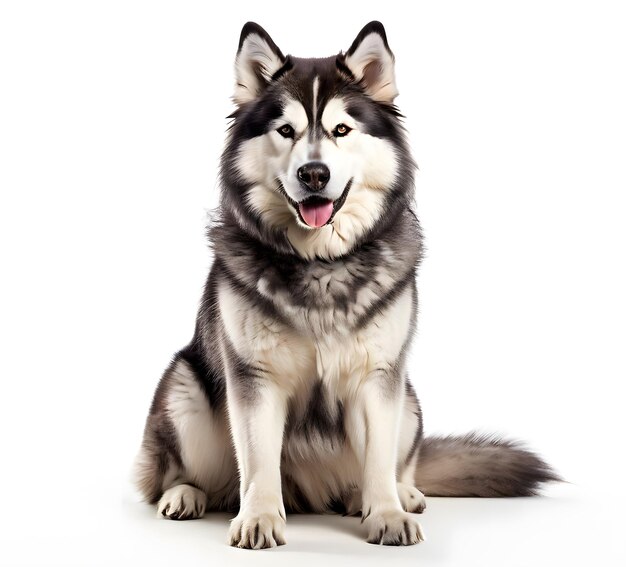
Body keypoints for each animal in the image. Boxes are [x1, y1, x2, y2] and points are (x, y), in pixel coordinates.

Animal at [135, 20, 556, 548]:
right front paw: (259, 517)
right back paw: (185, 494)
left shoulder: (379, 376)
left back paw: (394, 494)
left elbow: (377, 458)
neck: (320, 262)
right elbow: (259, 462)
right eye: (286, 130)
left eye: (341, 130)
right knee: (186, 475)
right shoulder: (254, 378)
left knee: (394, 465)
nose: (313, 173)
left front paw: (387, 514)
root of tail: (310, 494)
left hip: (409, 401)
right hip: (184, 386)